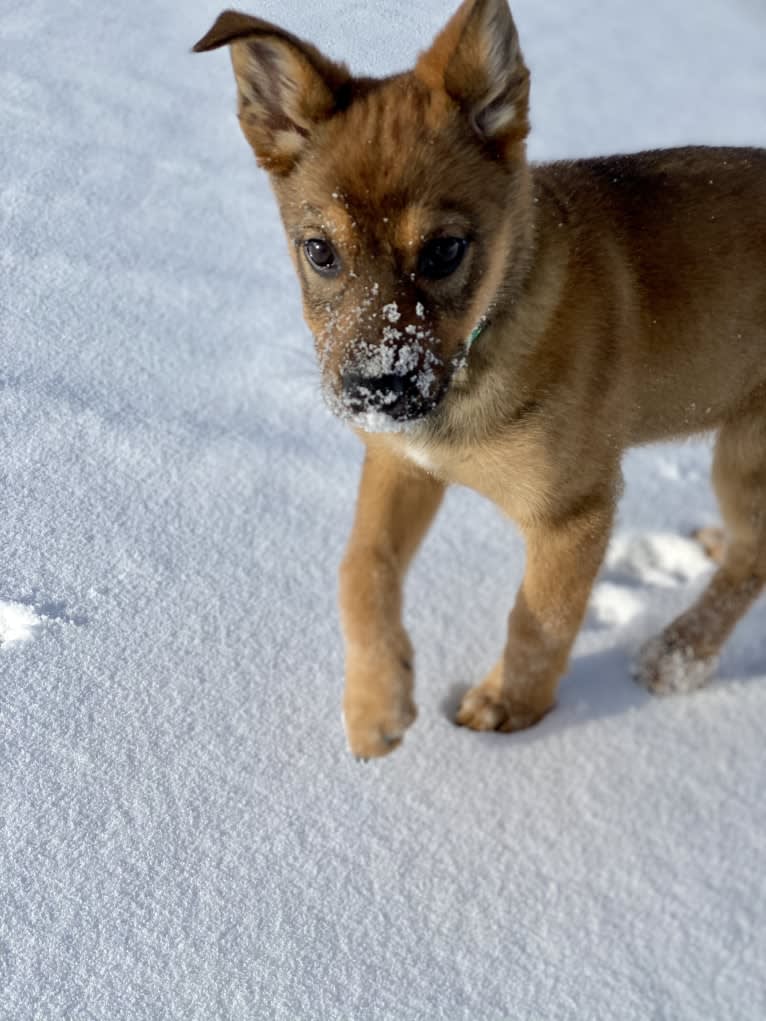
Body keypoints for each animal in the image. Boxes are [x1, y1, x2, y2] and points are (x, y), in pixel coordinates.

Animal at [195, 1, 766, 759]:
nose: (376, 392)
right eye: (319, 252)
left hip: (749, 448)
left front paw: (508, 708)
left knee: (754, 555)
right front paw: (376, 704)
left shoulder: (574, 512)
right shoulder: (399, 463)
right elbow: (360, 569)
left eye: (444, 251)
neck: (477, 360)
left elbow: (541, 618)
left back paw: (678, 654)